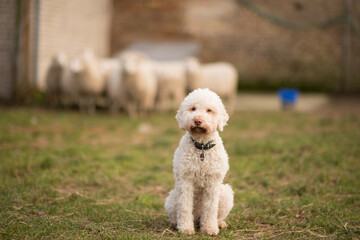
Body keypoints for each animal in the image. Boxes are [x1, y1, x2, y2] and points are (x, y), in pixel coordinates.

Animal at [165, 87, 235, 234]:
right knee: (176, 214)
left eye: (209, 110)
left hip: (225, 193)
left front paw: (209, 228)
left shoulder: (213, 183)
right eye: (193, 108)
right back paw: (176, 224)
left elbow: (210, 208)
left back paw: (219, 223)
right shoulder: (185, 181)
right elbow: (185, 207)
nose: (197, 120)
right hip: (172, 198)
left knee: (217, 214)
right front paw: (186, 228)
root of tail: (197, 219)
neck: (201, 147)